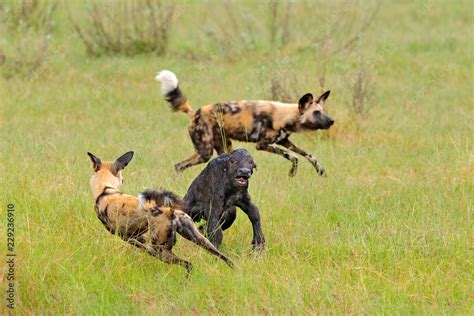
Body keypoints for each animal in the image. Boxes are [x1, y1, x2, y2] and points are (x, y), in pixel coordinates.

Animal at [87, 150, 233, 274]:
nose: (122, 181)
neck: (105, 190)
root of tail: (171, 211)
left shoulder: (129, 238)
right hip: (202, 240)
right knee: (226, 259)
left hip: (162, 250)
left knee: (188, 264)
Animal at [156, 69, 334, 177]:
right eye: (316, 113)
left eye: (322, 111)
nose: (331, 121)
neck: (286, 115)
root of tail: (195, 113)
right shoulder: (263, 144)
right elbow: (294, 156)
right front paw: (293, 173)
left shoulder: (285, 141)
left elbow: (307, 155)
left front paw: (320, 171)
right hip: (205, 152)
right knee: (179, 165)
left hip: (224, 148)